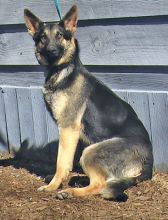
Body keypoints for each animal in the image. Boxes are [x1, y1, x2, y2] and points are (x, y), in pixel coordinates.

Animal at [24, 5, 154, 200]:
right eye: (43, 38)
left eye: (60, 35)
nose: (52, 51)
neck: (63, 71)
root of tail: (148, 164)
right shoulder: (71, 132)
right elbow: (65, 161)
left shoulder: (68, 127)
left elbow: (61, 162)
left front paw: (53, 185)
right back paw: (78, 181)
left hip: (90, 151)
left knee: (99, 184)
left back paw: (70, 191)